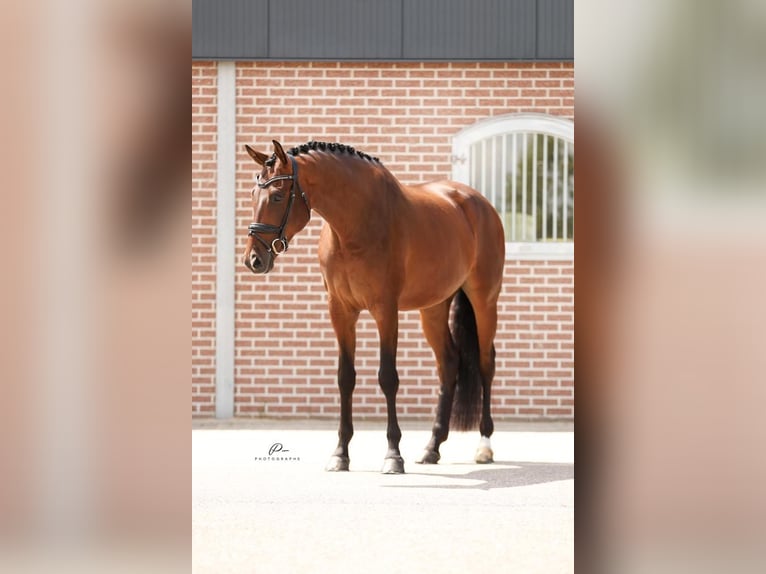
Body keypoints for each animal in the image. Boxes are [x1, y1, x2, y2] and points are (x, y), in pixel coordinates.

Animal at [243, 142, 508, 474]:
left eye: (278, 196)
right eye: (253, 194)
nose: (253, 260)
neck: (354, 224)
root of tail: (477, 203)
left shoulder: (385, 309)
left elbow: (388, 377)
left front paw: (393, 455)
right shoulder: (340, 311)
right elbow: (345, 378)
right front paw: (340, 454)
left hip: (484, 300)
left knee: (486, 364)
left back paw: (484, 446)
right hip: (433, 308)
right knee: (449, 364)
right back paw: (432, 448)